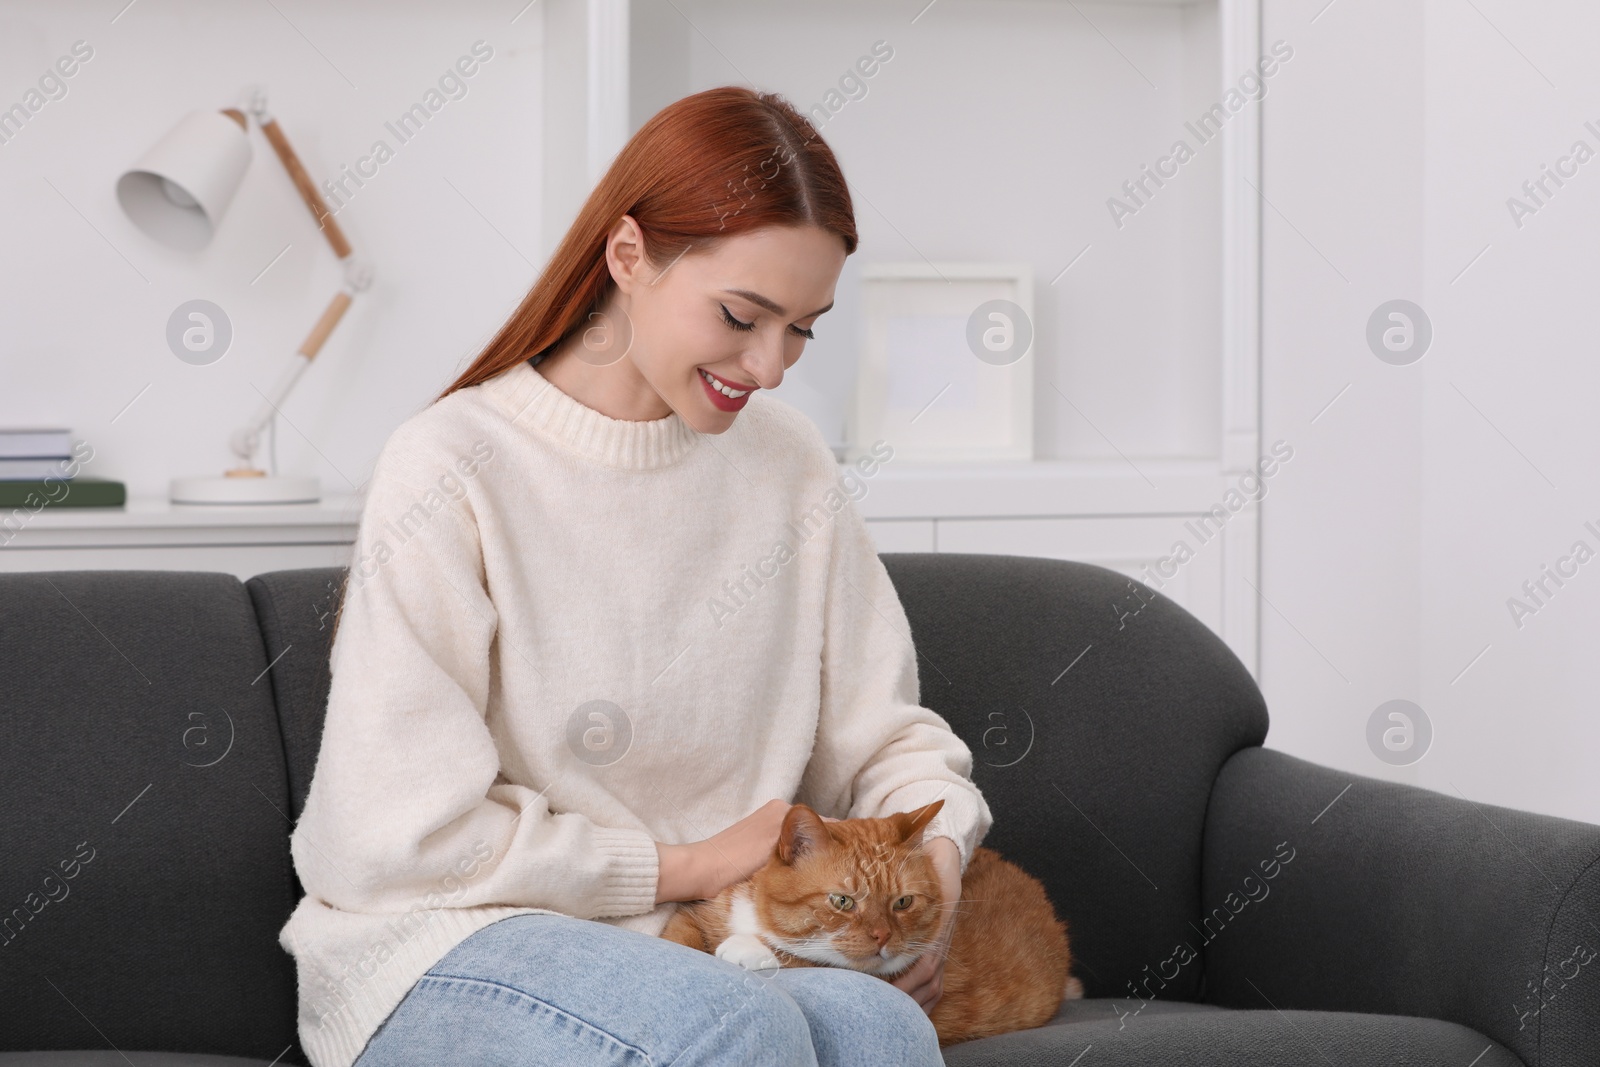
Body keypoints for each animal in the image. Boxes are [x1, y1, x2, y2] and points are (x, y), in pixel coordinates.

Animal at [656, 799, 1081, 1043]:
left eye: (903, 902)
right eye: (842, 901)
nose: (882, 937)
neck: (760, 918)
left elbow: (807, 957)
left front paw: (748, 948)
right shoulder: (700, 912)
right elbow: (679, 934)